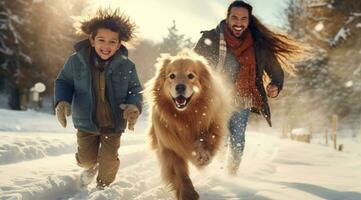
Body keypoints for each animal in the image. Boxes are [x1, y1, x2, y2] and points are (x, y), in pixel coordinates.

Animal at [144, 50, 233, 200]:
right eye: (172, 76)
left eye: (190, 76)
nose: (180, 86)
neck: (185, 118)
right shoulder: (169, 148)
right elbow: (180, 174)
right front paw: (188, 194)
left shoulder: (213, 125)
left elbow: (207, 138)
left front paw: (202, 155)